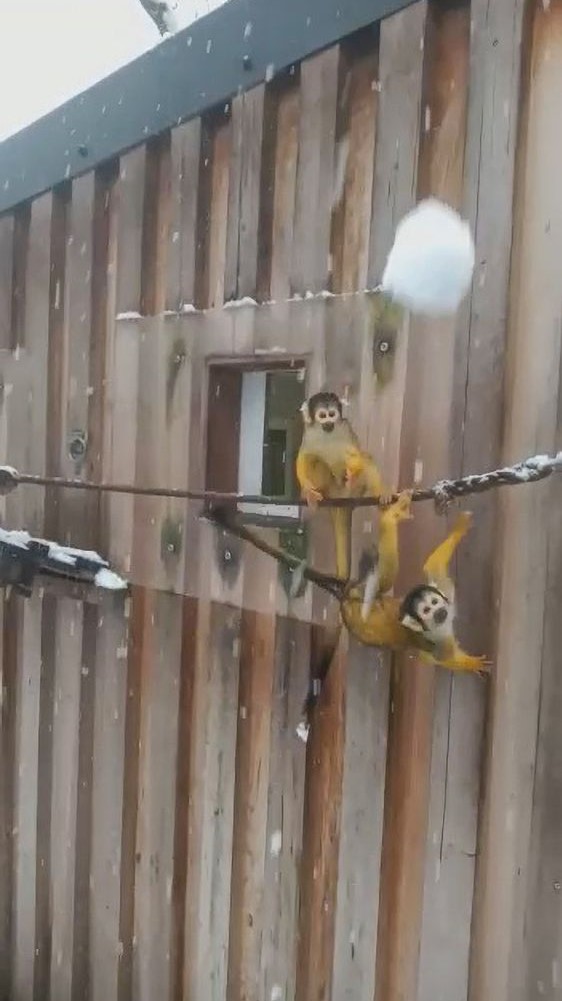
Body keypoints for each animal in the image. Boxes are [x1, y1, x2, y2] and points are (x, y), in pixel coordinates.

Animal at [295, 391, 388, 578]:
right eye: (322, 416)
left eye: (332, 414)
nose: (329, 423)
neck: (327, 433)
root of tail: (340, 500)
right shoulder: (309, 433)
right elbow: (303, 456)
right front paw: (307, 490)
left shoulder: (346, 427)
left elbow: (357, 452)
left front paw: (352, 471)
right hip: (331, 488)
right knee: (314, 459)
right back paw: (315, 495)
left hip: (353, 492)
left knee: (365, 458)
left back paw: (378, 493)